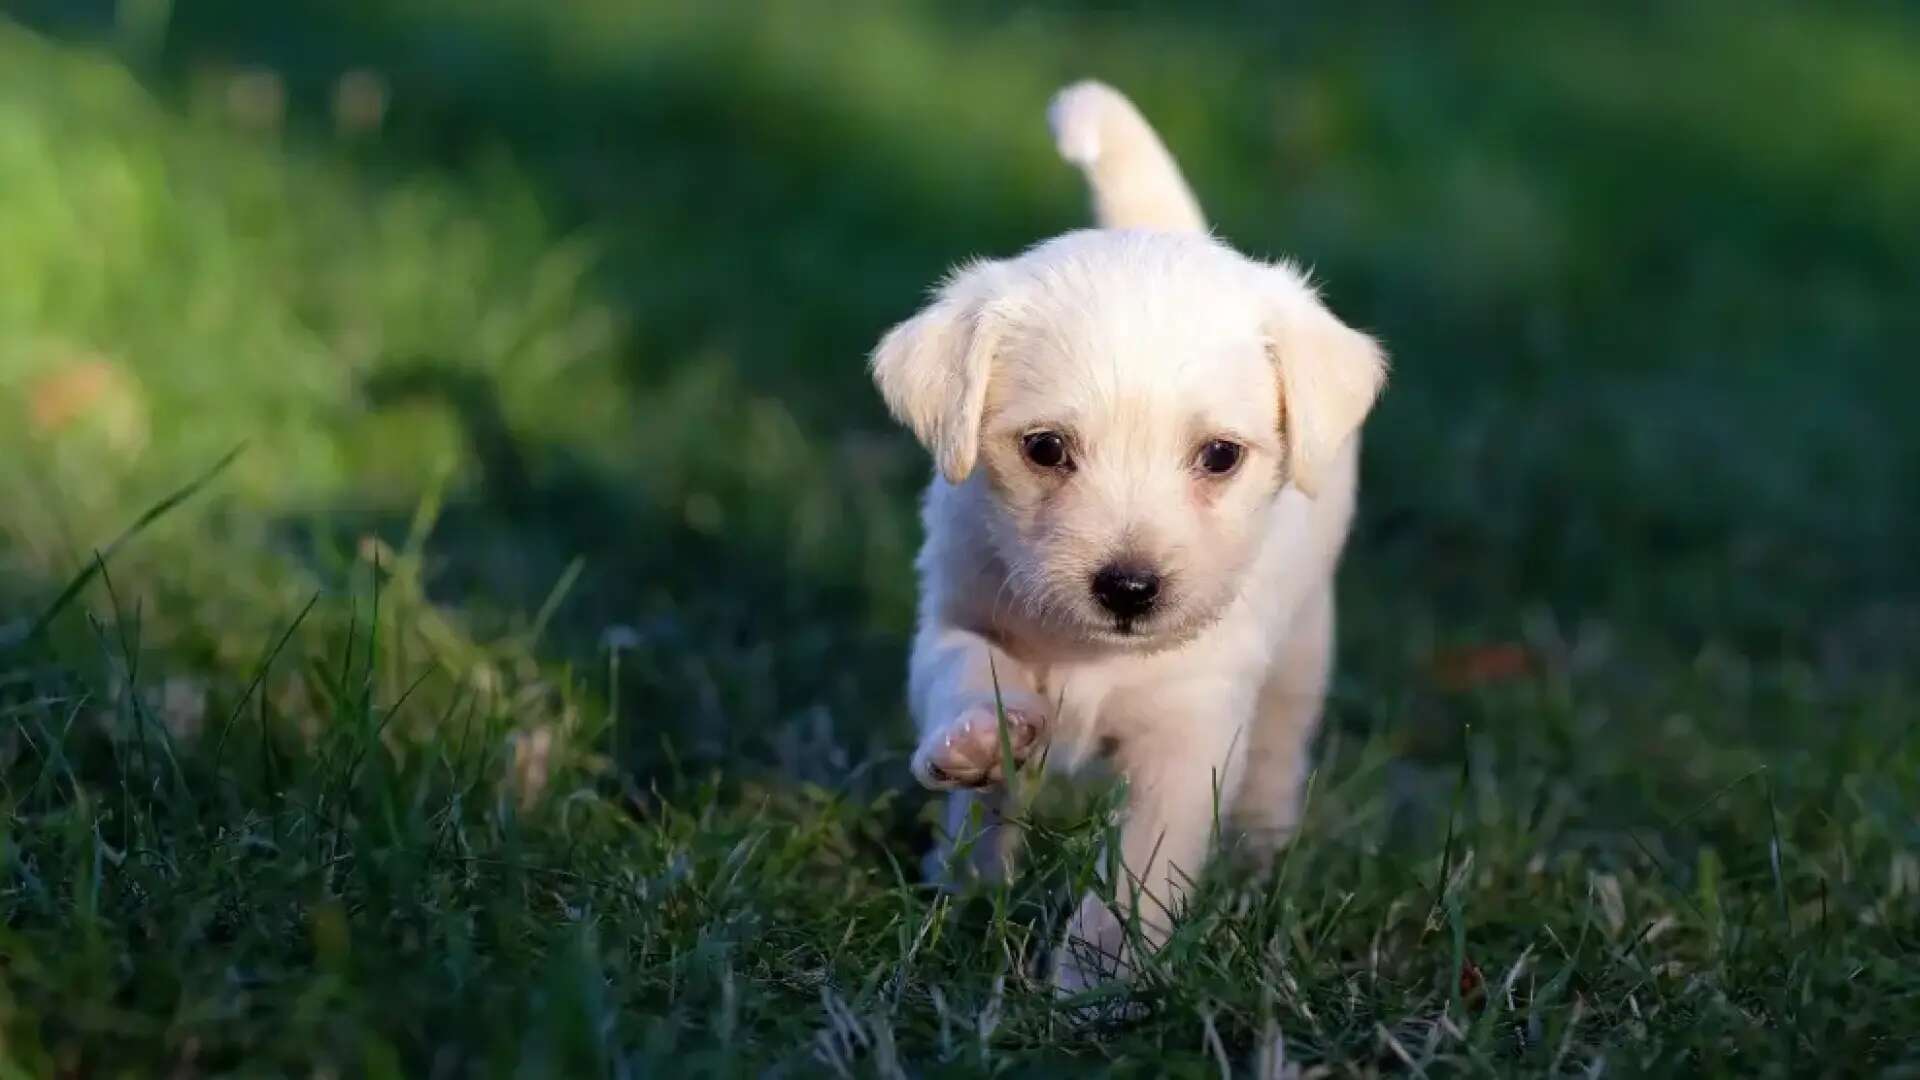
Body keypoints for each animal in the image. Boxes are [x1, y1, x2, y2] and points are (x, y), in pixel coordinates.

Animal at [867, 79, 1382, 991]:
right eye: (1045, 448)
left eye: (1220, 456)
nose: (1130, 589)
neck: (1091, 654)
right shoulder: (955, 611)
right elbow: (965, 671)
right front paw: (977, 742)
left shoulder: (1189, 736)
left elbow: (1139, 872)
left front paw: (1096, 982)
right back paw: (964, 878)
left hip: (1303, 650)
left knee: (1279, 754)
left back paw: (1258, 857)